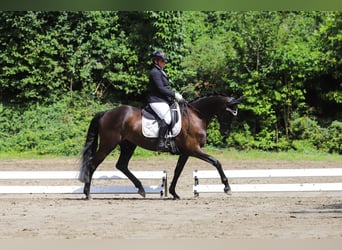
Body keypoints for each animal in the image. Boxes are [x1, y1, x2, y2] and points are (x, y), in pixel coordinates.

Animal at [79, 94, 244, 199]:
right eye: (230, 113)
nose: (225, 132)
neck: (196, 116)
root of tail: (106, 112)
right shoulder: (194, 149)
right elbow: (216, 162)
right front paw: (227, 188)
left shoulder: (185, 152)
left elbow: (178, 171)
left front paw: (173, 193)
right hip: (109, 144)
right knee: (93, 164)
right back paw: (88, 194)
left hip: (128, 145)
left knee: (122, 165)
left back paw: (141, 189)